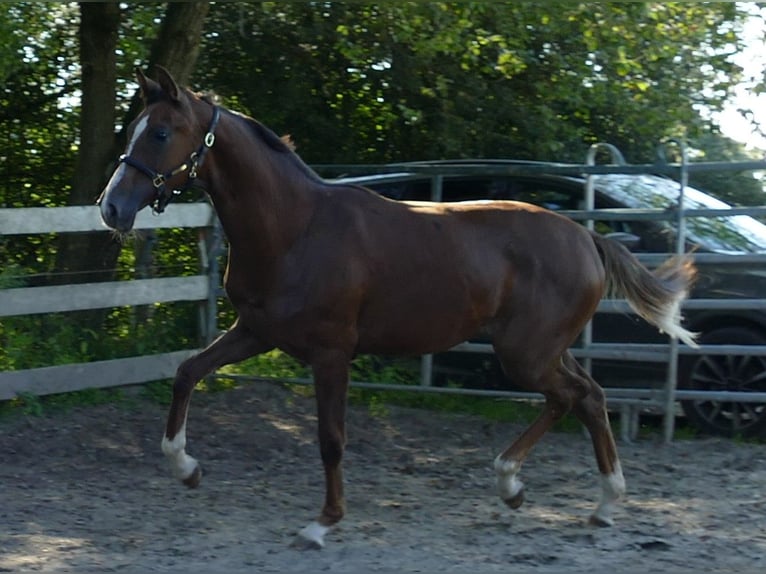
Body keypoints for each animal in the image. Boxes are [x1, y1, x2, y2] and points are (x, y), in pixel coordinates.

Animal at [97, 67, 696, 548]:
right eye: (135, 129)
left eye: (160, 132)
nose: (111, 209)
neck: (294, 227)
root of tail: (586, 238)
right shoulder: (256, 331)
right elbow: (187, 372)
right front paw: (186, 469)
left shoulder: (331, 352)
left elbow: (331, 440)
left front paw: (322, 523)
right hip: (542, 348)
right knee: (587, 397)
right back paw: (576, 499)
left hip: (525, 353)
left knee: (573, 397)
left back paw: (531, 486)